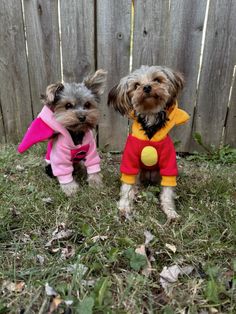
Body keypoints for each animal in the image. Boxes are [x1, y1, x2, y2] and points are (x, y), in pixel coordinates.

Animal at [108, 64, 189, 221]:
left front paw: (170, 211)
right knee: (134, 184)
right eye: (136, 85)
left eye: (157, 79)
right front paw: (124, 207)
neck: (150, 123)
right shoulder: (130, 161)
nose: (146, 87)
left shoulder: (168, 164)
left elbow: (167, 191)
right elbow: (126, 186)